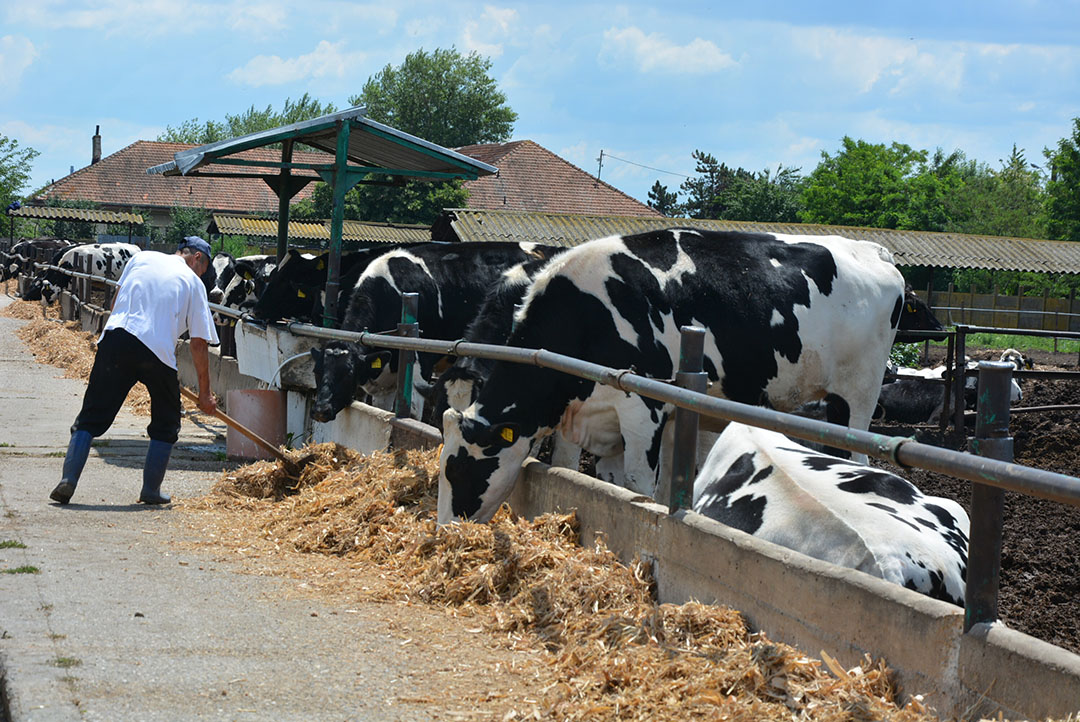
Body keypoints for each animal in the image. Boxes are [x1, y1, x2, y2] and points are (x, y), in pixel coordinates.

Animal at [438, 227, 911, 520]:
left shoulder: (643, 408)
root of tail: (871, 250)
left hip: (857, 396)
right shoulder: (577, 413)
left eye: (458, 471)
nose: (445, 532)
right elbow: (570, 468)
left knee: (856, 455)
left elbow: (639, 484)